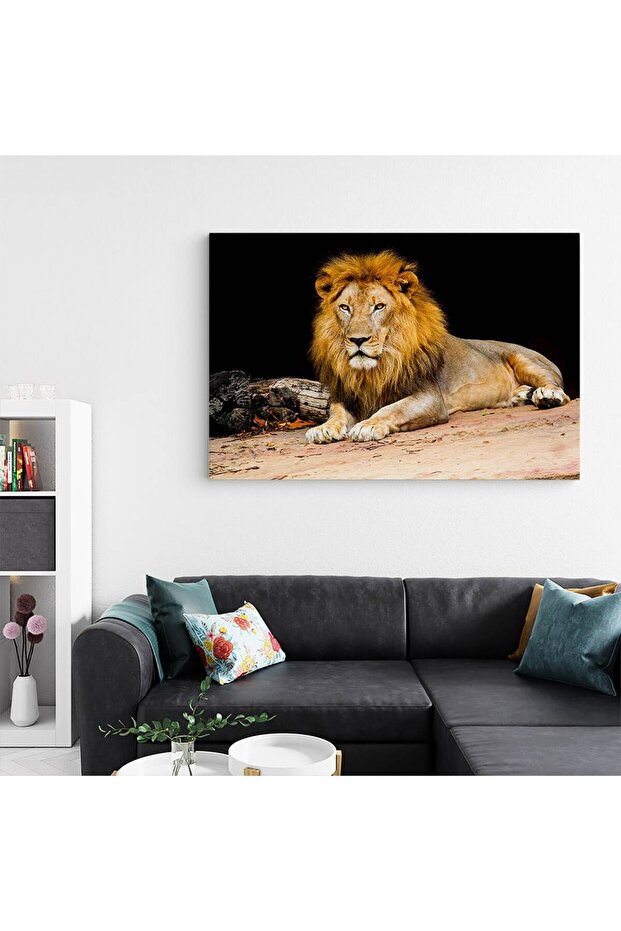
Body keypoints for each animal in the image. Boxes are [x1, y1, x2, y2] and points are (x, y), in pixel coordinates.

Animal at [306, 250, 569, 444]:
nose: (357, 340)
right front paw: (324, 428)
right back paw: (520, 395)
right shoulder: (347, 395)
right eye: (345, 307)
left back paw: (546, 396)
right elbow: (336, 411)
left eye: (378, 306)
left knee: (556, 385)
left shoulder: (430, 397)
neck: (377, 368)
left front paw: (368, 425)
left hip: (525, 359)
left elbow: (394, 409)